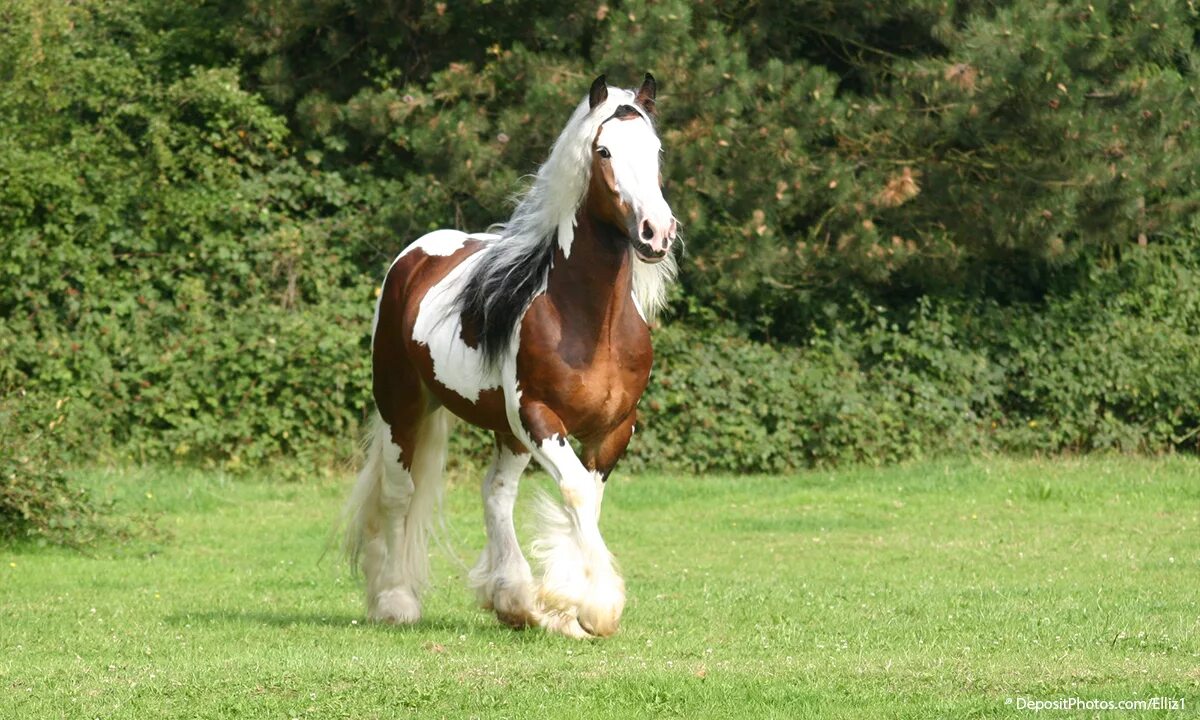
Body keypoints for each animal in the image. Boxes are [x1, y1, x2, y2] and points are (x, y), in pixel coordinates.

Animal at [345, 75, 676, 638]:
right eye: (604, 151)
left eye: (654, 151)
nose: (657, 232)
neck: (592, 323)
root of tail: (415, 256)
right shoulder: (538, 417)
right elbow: (576, 493)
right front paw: (596, 607)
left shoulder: (614, 428)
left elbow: (587, 500)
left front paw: (566, 606)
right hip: (401, 407)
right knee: (399, 493)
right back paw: (396, 601)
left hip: (505, 433)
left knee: (495, 493)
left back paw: (514, 599)